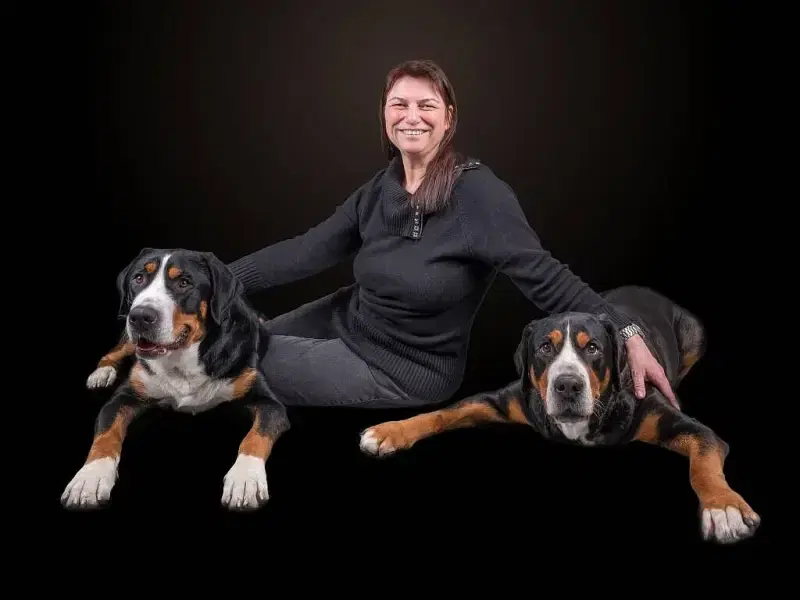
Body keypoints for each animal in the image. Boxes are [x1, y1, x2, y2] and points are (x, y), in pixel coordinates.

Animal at [61, 247, 289, 511]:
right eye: (138, 278)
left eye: (184, 283)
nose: (140, 316)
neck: (182, 361)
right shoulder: (121, 398)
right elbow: (105, 436)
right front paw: (89, 478)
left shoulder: (269, 402)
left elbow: (255, 437)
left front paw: (245, 478)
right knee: (114, 351)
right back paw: (102, 372)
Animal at [358, 285, 760, 545]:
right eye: (545, 347)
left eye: (593, 348)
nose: (567, 385)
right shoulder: (507, 399)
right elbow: (443, 413)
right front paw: (391, 430)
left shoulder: (678, 422)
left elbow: (703, 465)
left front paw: (723, 507)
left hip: (694, 333)